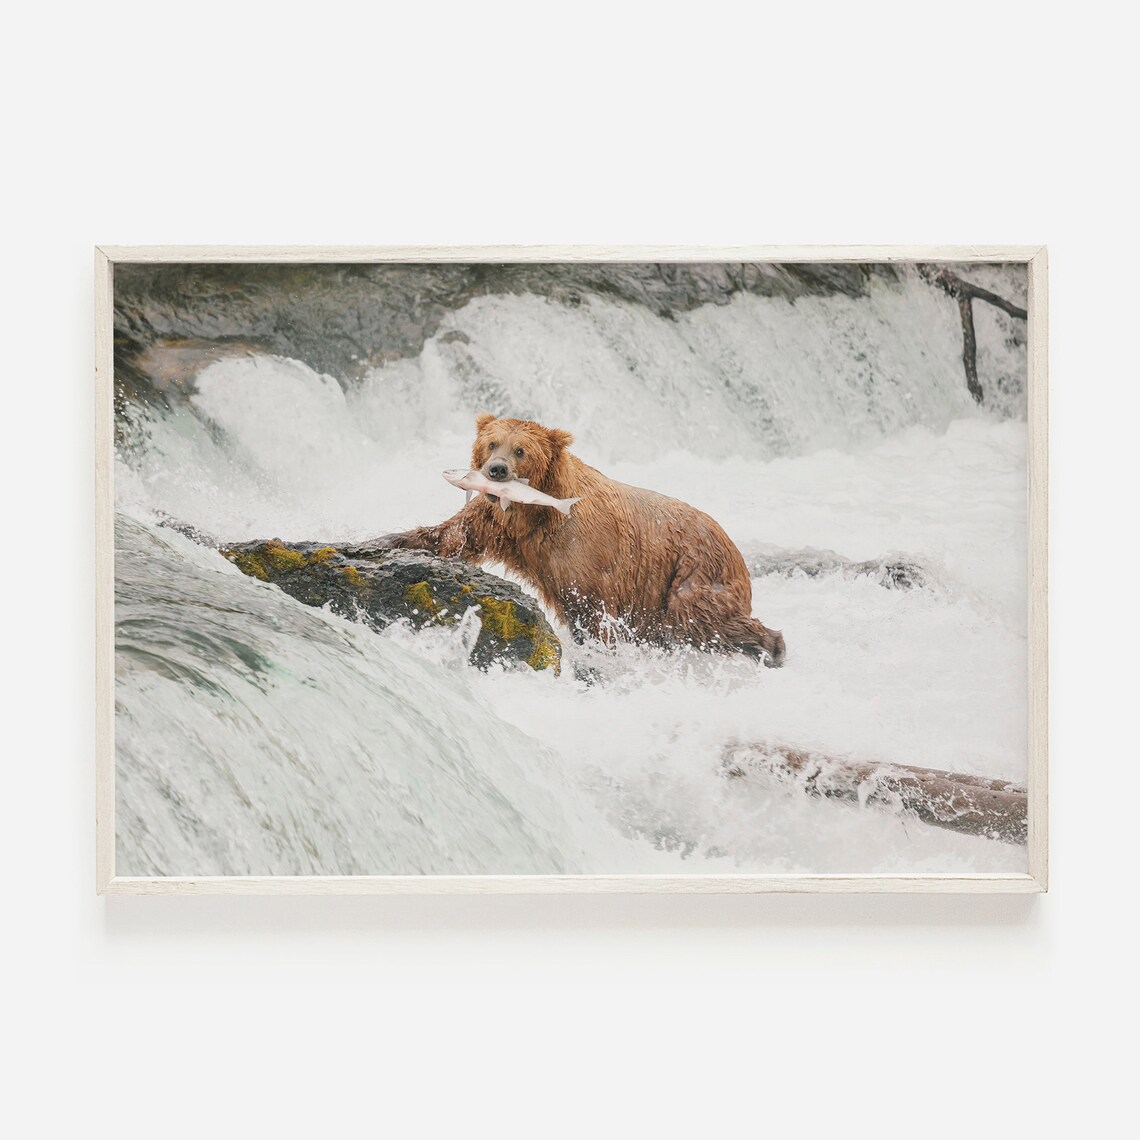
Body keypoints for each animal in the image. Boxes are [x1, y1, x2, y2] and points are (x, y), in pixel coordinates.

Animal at [382, 415, 785, 666]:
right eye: (492, 443)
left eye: (520, 449)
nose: (496, 470)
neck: (535, 510)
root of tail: (733, 545)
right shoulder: (499, 523)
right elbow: (452, 535)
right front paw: (389, 539)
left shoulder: (584, 550)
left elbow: (591, 609)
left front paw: (597, 653)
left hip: (691, 570)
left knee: (696, 617)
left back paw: (772, 647)